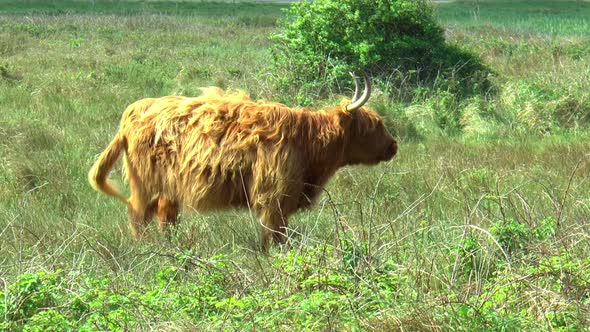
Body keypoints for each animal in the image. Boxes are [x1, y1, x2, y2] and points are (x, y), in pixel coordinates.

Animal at [89, 73, 398, 249]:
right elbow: (274, 232)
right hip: (145, 183)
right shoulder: (274, 195)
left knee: (166, 214)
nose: (394, 146)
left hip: (170, 186)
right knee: (138, 214)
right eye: (374, 125)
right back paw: (144, 248)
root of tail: (135, 110)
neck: (308, 141)